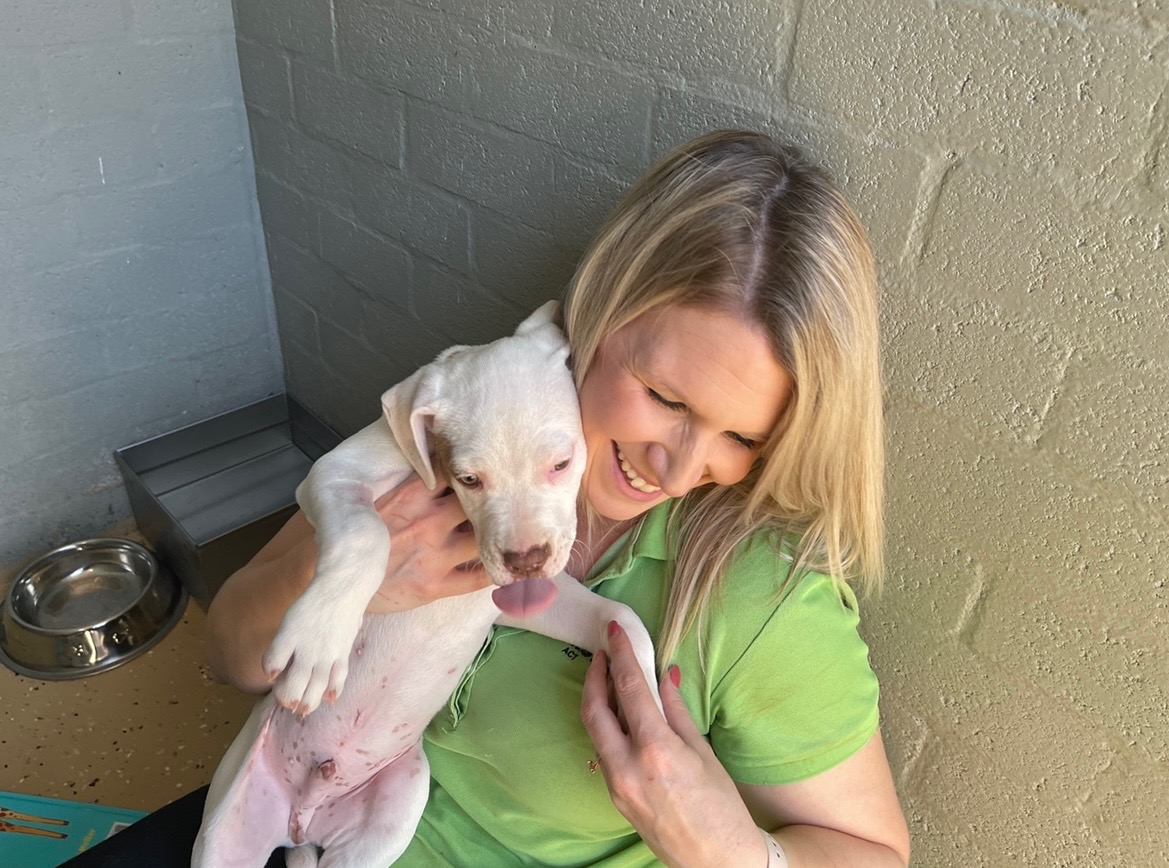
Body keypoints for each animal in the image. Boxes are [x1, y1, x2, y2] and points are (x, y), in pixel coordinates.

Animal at [196, 303, 663, 868]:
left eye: (561, 463)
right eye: (469, 480)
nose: (525, 560)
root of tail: (301, 816)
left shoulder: (522, 599)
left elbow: (620, 617)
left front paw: (650, 710)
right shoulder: (334, 472)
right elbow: (366, 534)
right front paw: (319, 641)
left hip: (390, 815)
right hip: (227, 830)